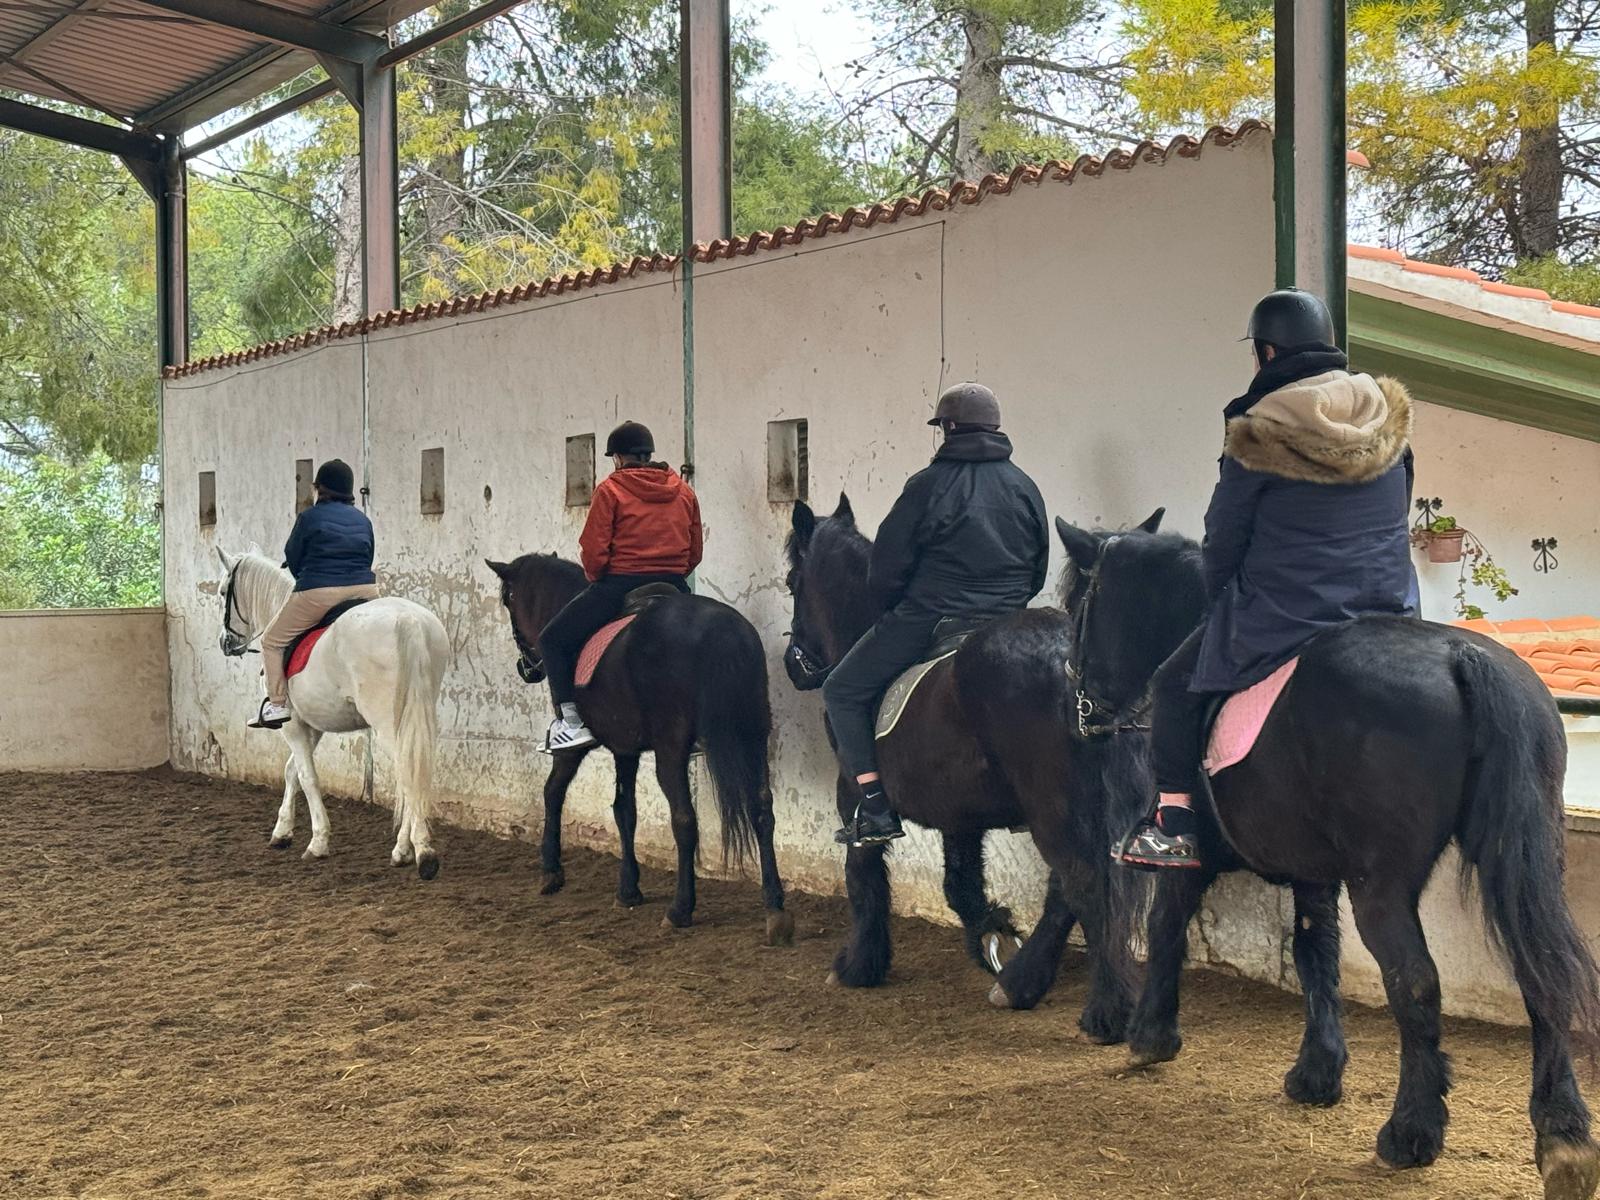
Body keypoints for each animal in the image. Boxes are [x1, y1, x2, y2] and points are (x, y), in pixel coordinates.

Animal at [212, 550, 451, 876]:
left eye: (224, 592)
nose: (226, 643)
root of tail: (409, 621)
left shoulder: (292, 725)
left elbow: (307, 776)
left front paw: (318, 842)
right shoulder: (313, 725)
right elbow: (291, 771)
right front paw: (282, 833)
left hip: (388, 723)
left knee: (406, 773)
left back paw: (423, 854)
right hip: (415, 712)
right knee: (412, 774)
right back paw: (403, 851)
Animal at [480, 556, 793, 947]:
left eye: (508, 600)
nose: (526, 669)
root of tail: (721, 631)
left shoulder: (576, 749)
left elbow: (552, 792)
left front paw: (550, 871)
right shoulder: (625, 748)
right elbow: (624, 811)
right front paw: (628, 889)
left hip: (672, 749)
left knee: (684, 821)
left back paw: (680, 909)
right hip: (754, 735)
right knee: (762, 813)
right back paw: (775, 909)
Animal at [780, 499, 1184, 1043]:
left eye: (792, 581)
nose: (794, 666)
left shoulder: (854, 797)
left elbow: (864, 874)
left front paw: (858, 965)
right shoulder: (960, 813)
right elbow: (960, 883)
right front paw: (993, 935)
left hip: (1056, 808)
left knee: (1082, 886)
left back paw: (1104, 1011)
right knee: (1066, 891)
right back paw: (1022, 982)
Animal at [1049, 524, 1600, 1200]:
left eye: (1079, 605)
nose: (1079, 708)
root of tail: (1461, 659)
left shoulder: (1192, 856)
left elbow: (1166, 927)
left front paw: (1150, 1038)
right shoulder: (1313, 872)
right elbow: (1317, 953)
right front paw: (1317, 1073)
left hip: (1381, 885)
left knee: (1416, 982)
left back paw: (1410, 1133)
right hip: (1521, 858)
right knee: (1540, 971)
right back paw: (1562, 1134)